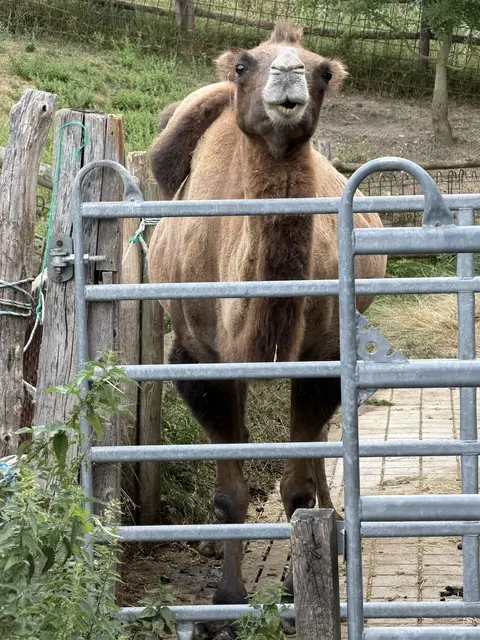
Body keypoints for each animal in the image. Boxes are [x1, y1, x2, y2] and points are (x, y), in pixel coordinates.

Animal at [148, 22, 386, 613]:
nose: (288, 74)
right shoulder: (199, 358)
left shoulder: (323, 355)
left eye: (323, 70)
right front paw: (225, 600)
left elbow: (297, 489)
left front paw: (297, 588)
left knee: (319, 442)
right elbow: (229, 495)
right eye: (243, 65)